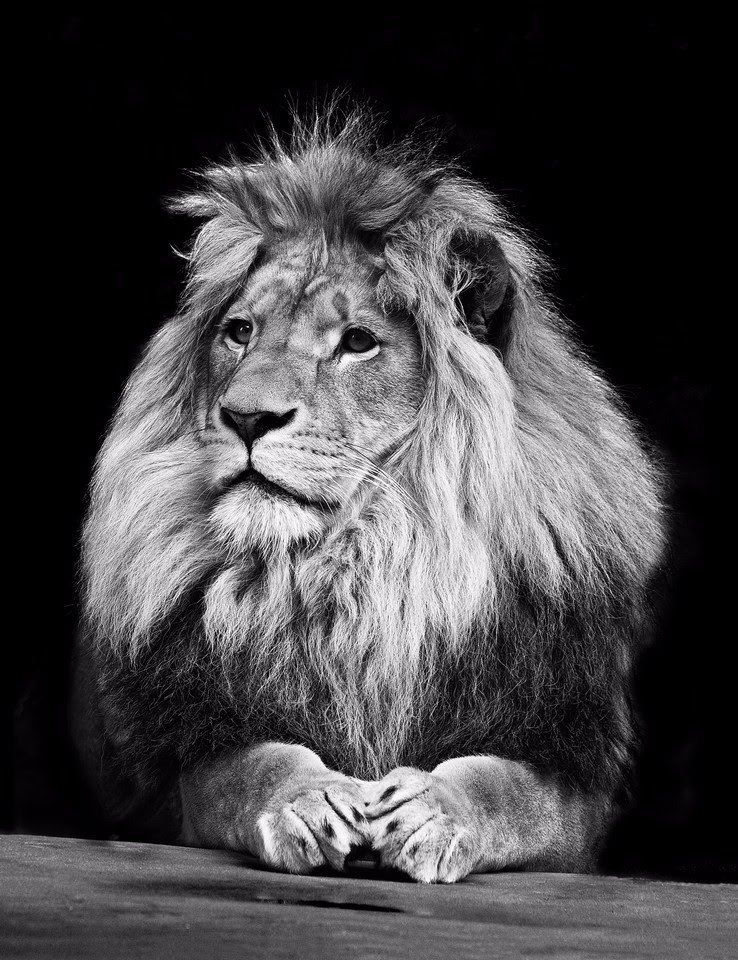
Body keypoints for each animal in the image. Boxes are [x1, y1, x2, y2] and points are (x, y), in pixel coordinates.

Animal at [72, 108, 665, 882]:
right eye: (240, 332)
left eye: (358, 342)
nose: (246, 418)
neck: (368, 567)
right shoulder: (191, 759)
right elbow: (250, 768)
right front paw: (307, 800)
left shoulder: (572, 773)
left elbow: (510, 791)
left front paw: (435, 809)